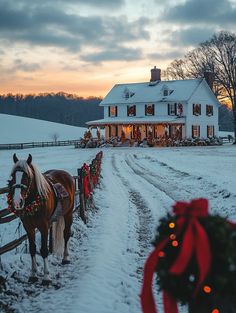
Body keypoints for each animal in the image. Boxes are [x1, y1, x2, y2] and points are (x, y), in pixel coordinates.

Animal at [7, 152, 74, 284]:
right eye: (13, 176)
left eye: (27, 176)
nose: (17, 201)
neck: (34, 200)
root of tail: (66, 175)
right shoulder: (28, 227)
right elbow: (32, 249)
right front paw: (33, 274)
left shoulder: (43, 227)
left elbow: (43, 250)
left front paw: (46, 277)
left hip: (68, 214)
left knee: (66, 234)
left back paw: (65, 258)